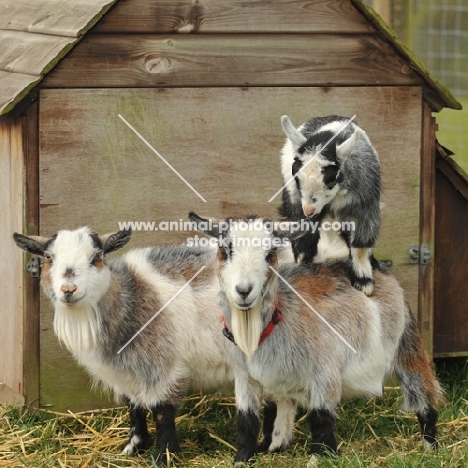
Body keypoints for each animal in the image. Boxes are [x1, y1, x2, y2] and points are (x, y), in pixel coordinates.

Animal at [189, 212, 442, 464]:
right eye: (226, 249)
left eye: (269, 253)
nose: (244, 290)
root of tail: (376, 269)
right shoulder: (244, 377)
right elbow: (246, 419)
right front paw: (243, 458)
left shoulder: (325, 373)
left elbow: (321, 416)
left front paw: (320, 458)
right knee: (282, 407)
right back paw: (275, 445)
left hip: (407, 344)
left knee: (423, 390)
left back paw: (430, 445)